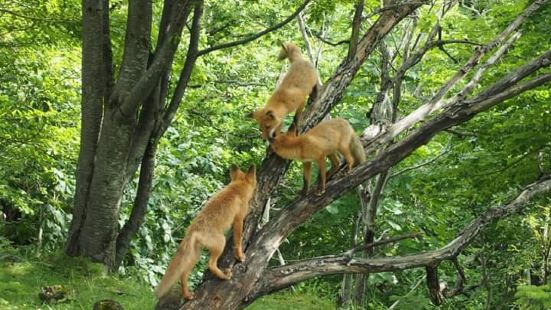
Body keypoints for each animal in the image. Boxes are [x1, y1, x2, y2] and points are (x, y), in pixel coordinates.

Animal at [154, 165, 258, 300]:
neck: (236, 188)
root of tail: (192, 230)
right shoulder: (238, 220)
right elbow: (238, 241)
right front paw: (240, 256)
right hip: (221, 242)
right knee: (210, 264)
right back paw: (223, 276)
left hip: (195, 255)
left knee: (184, 274)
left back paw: (187, 295)